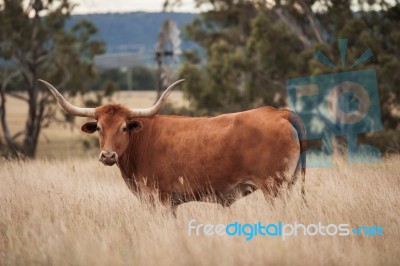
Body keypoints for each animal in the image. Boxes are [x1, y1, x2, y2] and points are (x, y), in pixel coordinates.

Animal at [39, 79, 306, 210]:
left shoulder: (161, 200)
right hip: (289, 186)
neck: (142, 140)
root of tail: (279, 113)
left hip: (274, 189)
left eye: (124, 127)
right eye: (100, 128)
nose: (107, 156)